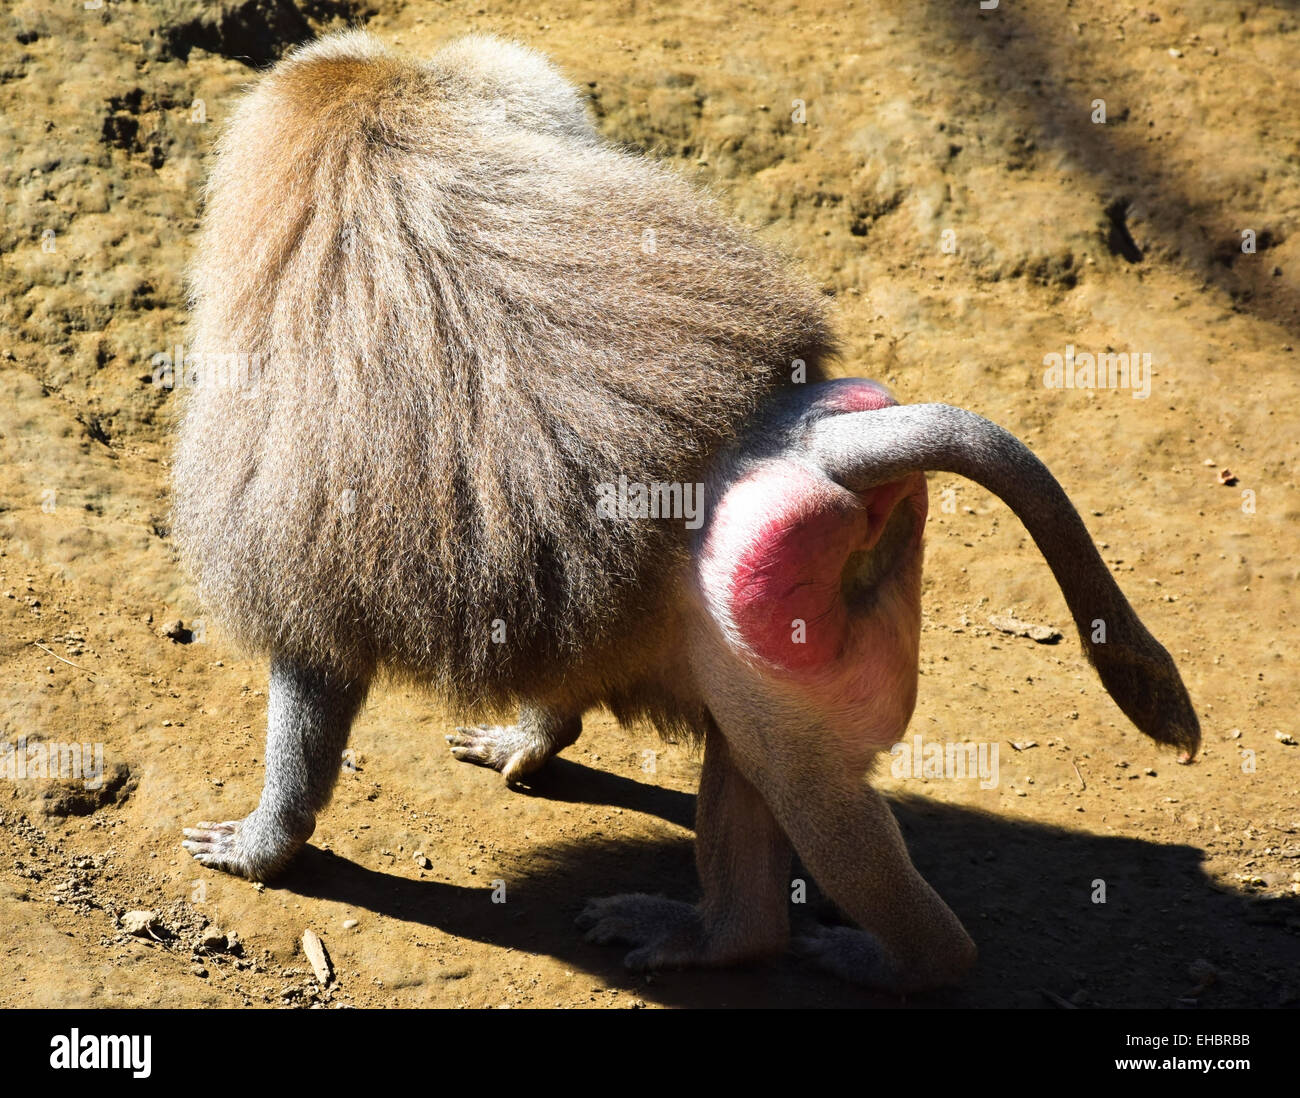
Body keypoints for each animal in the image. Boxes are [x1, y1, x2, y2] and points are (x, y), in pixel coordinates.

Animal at [176, 31, 1199, 992]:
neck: (378, 144)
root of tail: (790, 442)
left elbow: (313, 664)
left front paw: (263, 846)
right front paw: (531, 740)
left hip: (766, 604)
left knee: (804, 786)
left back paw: (881, 957)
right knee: (752, 757)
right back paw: (730, 936)